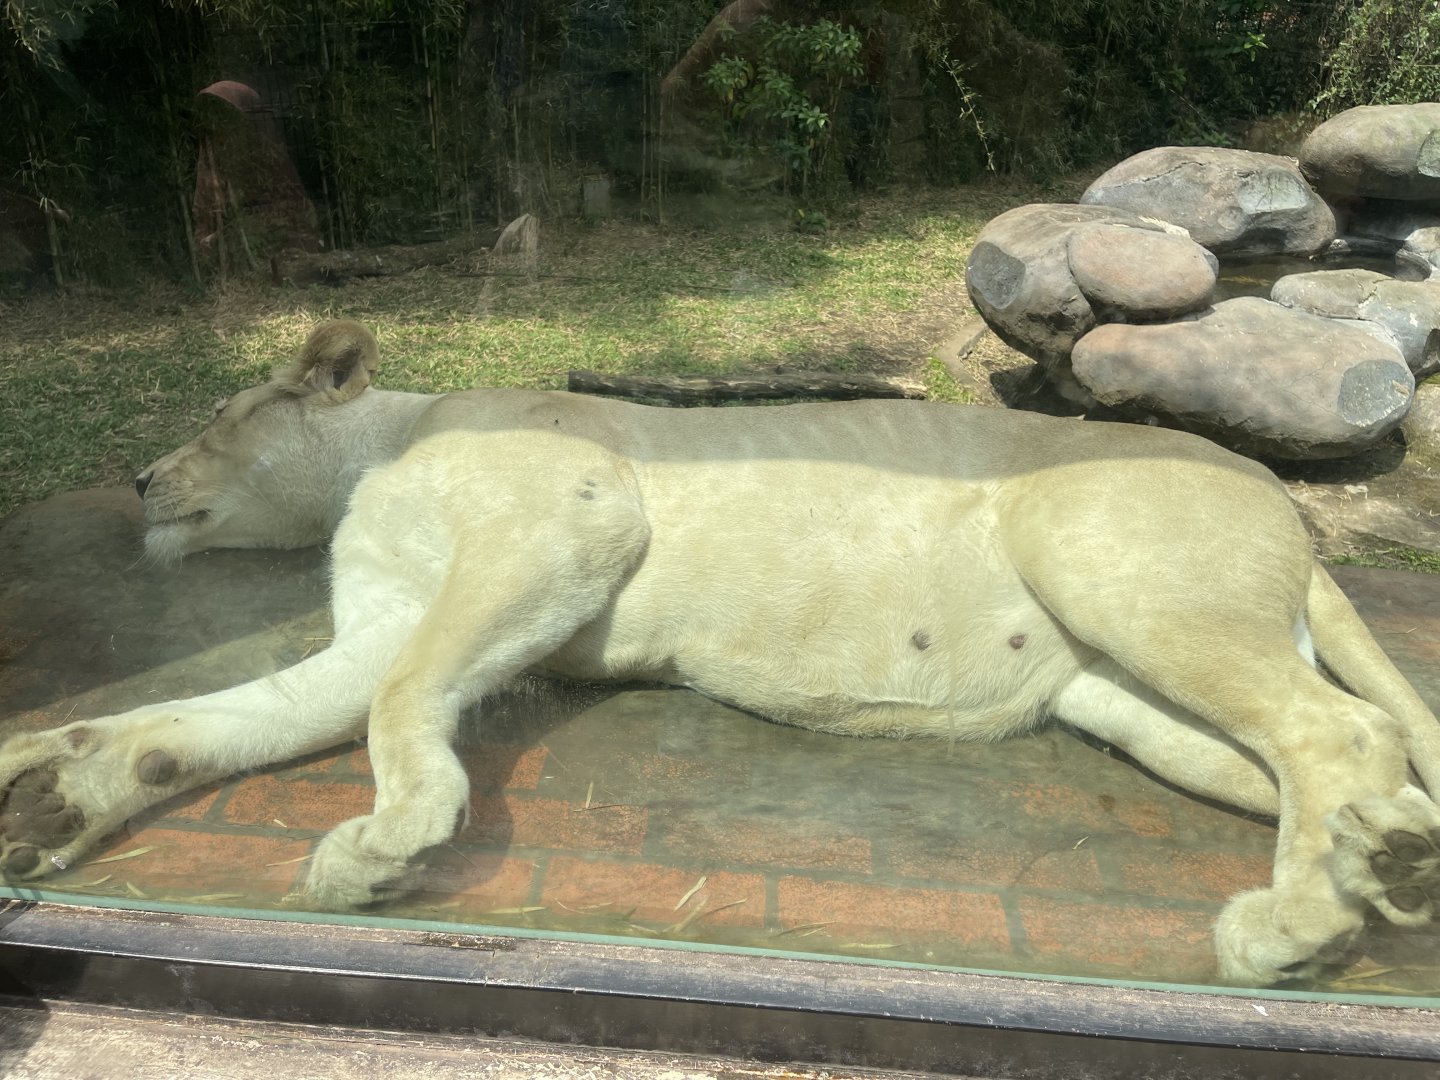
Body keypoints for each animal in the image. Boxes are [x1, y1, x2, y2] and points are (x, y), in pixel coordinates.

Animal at [2, 320, 1438, 987]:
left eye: (220, 420)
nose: (139, 480)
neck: (376, 457)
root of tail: (1289, 511)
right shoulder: (391, 623)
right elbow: (230, 711)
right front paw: (62, 788)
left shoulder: (571, 519)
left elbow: (401, 704)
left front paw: (390, 838)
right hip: (1127, 696)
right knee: (1351, 760)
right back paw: (1387, 865)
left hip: (1103, 560)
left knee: (1343, 729)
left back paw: (1301, 924)